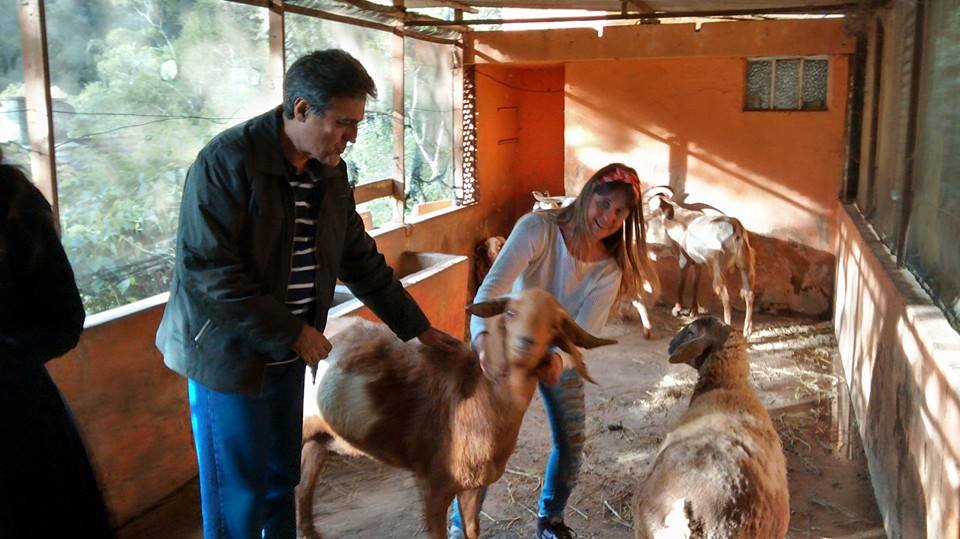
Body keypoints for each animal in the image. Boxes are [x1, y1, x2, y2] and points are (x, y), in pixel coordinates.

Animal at [297, 288, 616, 539]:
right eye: (511, 312)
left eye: (554, 326)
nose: (526, 343)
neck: (482, 399)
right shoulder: (432, 485)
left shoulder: (473, 485)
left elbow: (472, 530)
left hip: (321, 436)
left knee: (304, 483)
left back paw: (310, 531)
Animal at [644, 186, 756, 336]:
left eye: (646, 202)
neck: (682, 221)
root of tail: (737, 231)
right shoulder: (698, 262)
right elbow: (695, 283)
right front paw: (693, 311)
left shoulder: (684, 259)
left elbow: (681, 283)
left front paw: (677, 310)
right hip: (745, 265)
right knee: (749, 294)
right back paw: (747, 329)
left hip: (719, 269)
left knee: (726, 298)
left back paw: (727, 325)